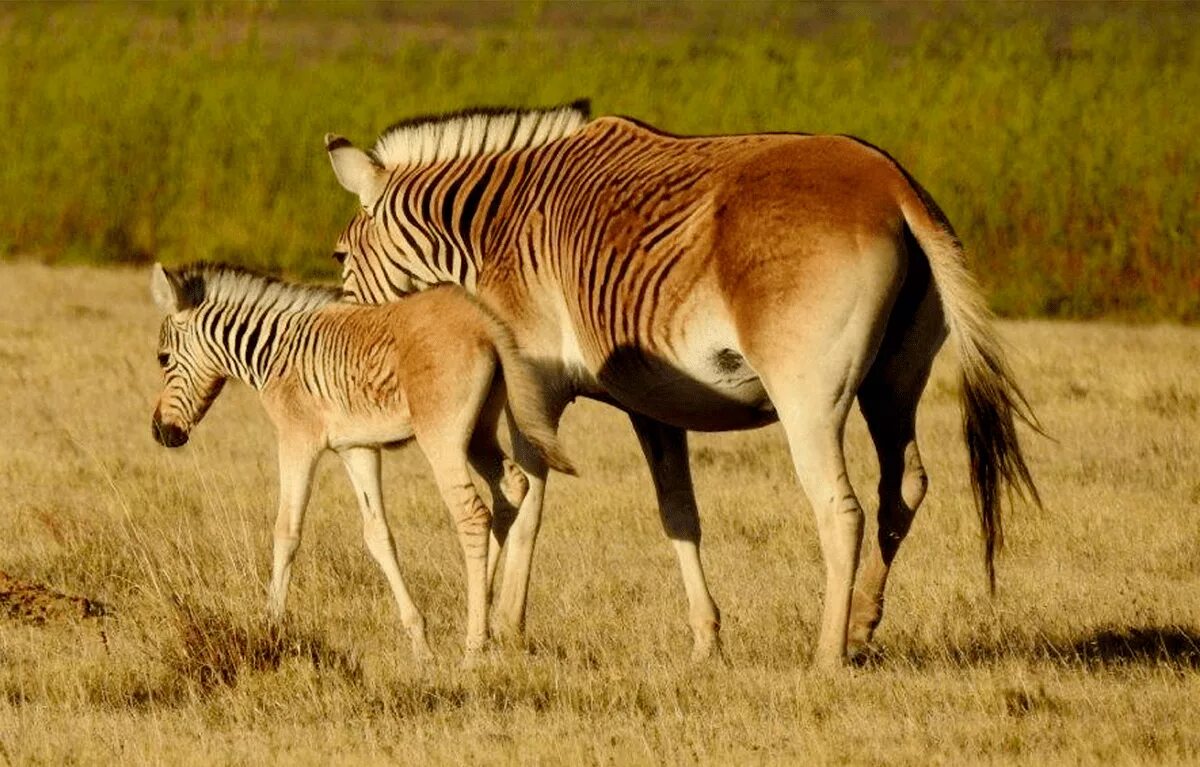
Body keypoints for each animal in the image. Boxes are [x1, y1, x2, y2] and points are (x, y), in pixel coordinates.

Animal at [147, 264, 578, 662]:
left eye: (163, 359)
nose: (160, 433)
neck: (276, 352)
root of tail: (484, 321)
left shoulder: (297, 439)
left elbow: (287, 530)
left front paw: (269, 626)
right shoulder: (357, 447)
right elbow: (378, 536)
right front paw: (420, 642)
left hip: (442, 438)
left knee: (471, 514)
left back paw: (474, 645)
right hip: (480, 434)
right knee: (512, 489)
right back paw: (480, 610)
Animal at [321, 100, 1041, 667]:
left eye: (338, 254)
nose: (349, 341)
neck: (498, 228)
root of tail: (890, 182)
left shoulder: (536, 389)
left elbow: (525, 504)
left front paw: (505, 627)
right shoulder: (654, 404)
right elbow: (679, 515)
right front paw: (706, 640)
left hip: (810, 397)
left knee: (841, 509)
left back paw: (826, 654)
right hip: (893, 386)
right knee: (903, 489)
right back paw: (863, 627)